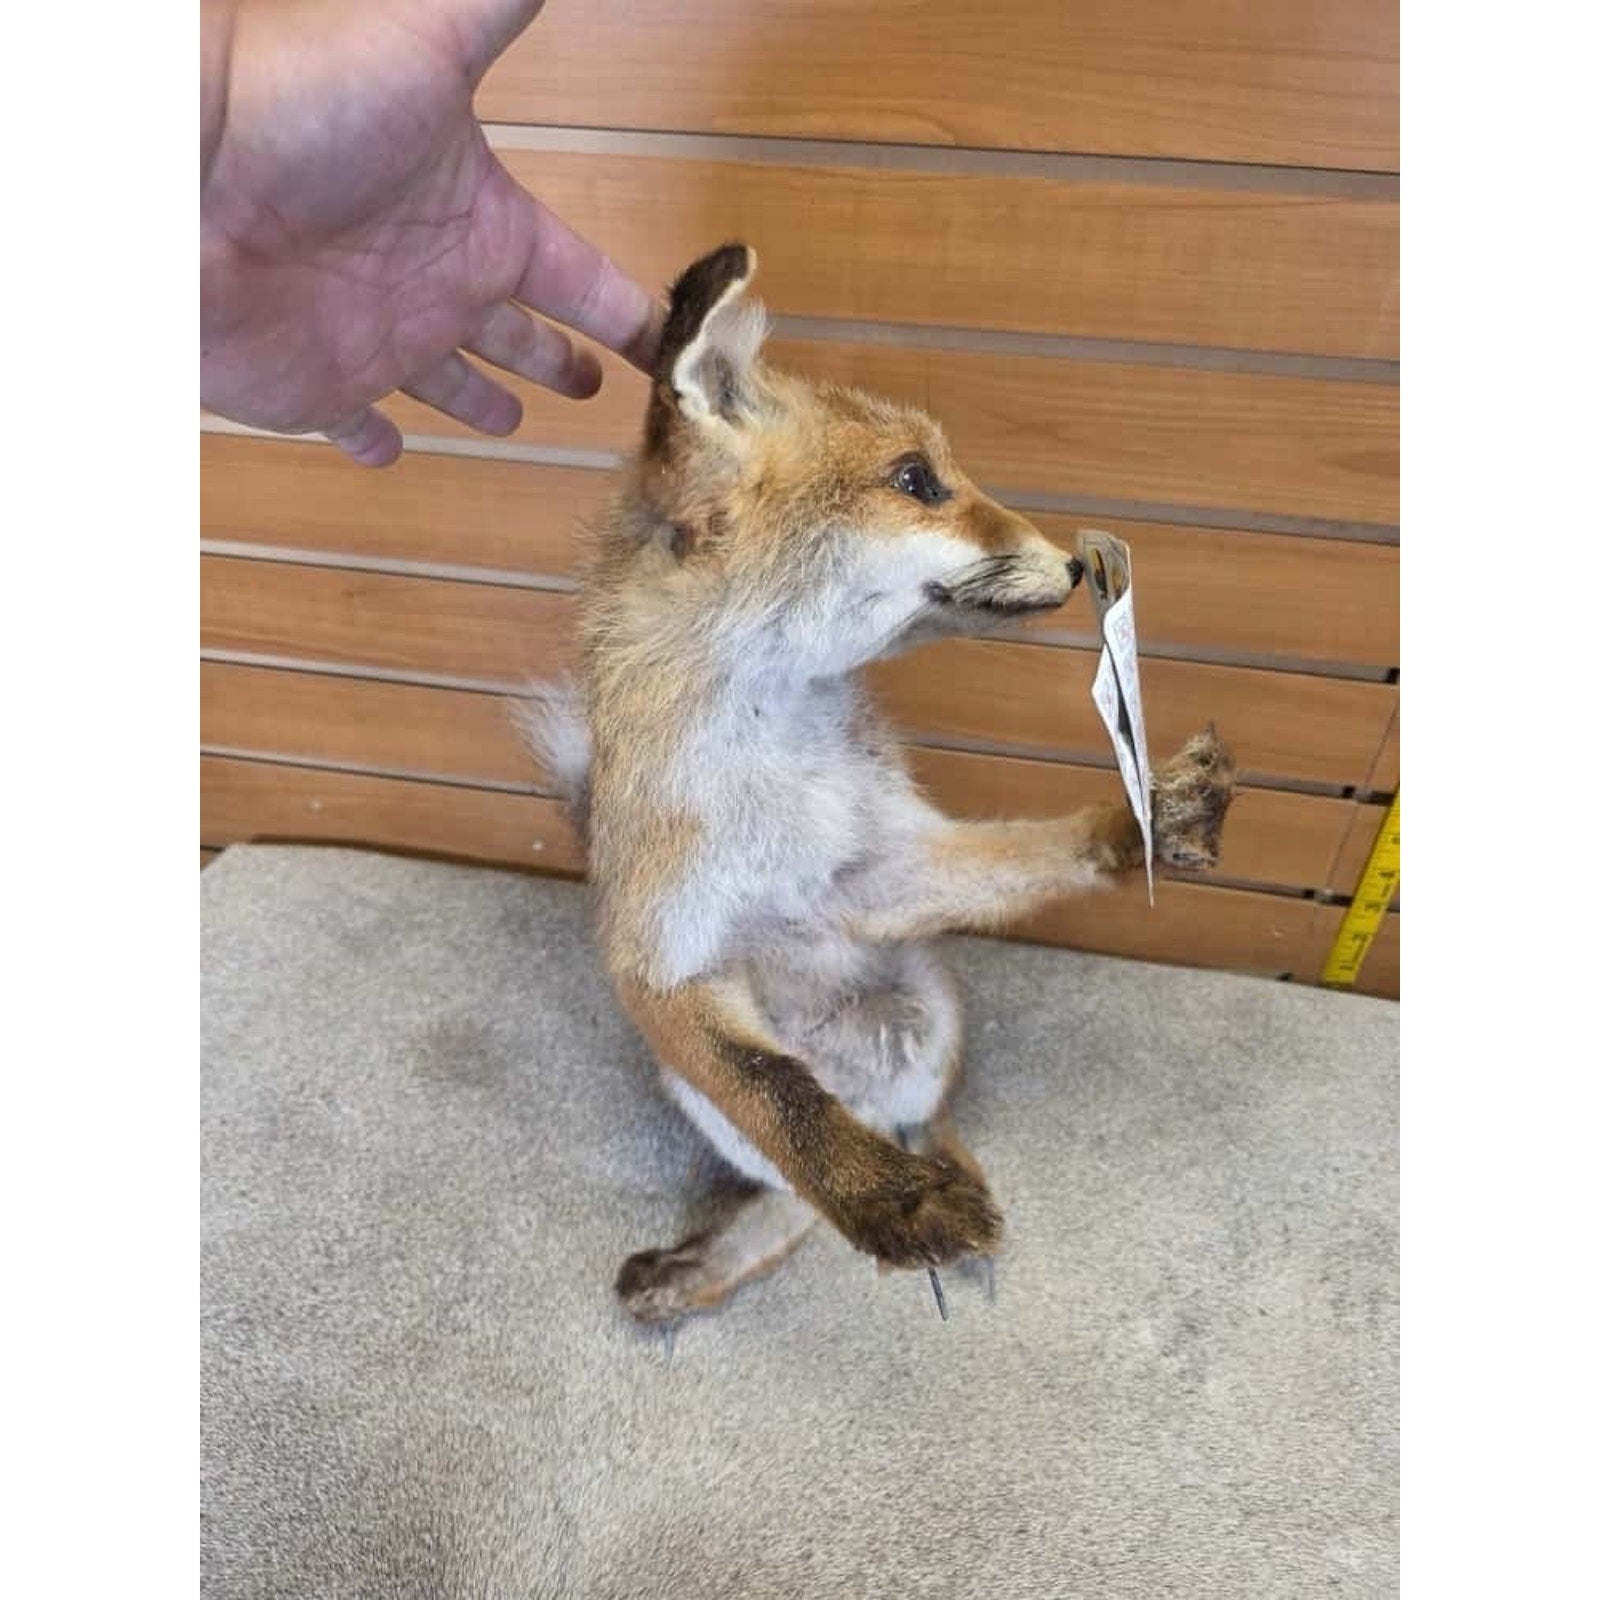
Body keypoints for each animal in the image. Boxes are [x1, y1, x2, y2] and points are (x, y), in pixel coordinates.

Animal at [524, 243, 1237, 1325]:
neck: (780, 759)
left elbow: (1032, 850)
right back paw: (727, 1255)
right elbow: (786, 1106)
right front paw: (891, 1205)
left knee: (913, 1134)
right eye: (917, 481)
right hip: (693, 1087)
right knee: (794, 1187)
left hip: (934, 1008)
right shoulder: (662, 955)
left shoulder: (869, 871)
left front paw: (1141, 820)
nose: (1080, 563)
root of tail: (877, 1086)